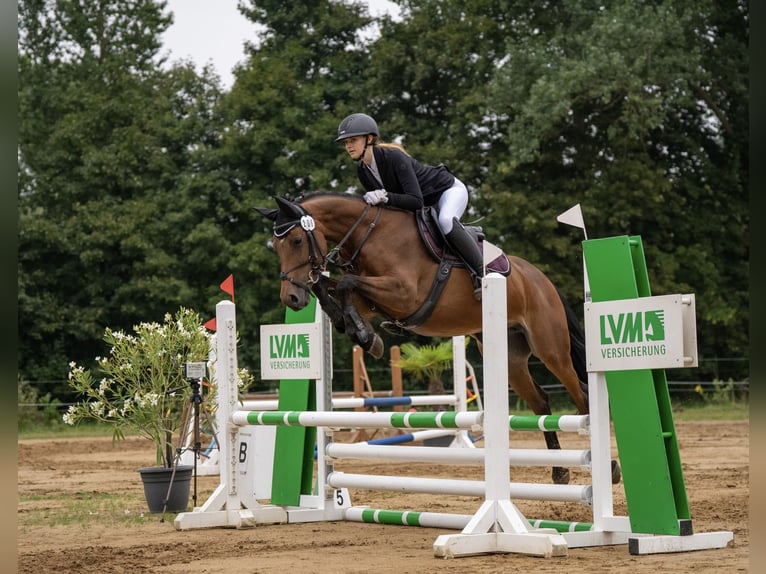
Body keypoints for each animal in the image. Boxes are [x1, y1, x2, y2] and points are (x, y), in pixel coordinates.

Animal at [255, 192, 620, 485]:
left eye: (297, 241)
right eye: (276, 247)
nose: (291, 299)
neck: (369, 234)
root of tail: (540, 279)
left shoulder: (403, 293)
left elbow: (344, 283)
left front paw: (366, 336)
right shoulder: (373, 300)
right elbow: (333, 287)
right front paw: (359, 331)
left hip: (550, 348)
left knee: (581, 395)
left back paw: (611, 469)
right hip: (510, 357)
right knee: (541, 402)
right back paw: (560, 471)